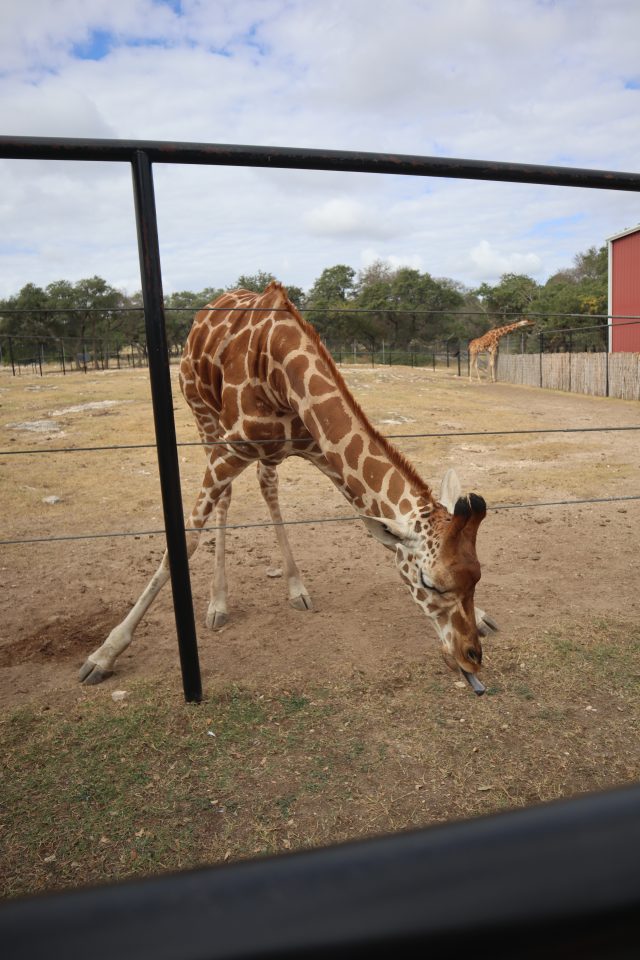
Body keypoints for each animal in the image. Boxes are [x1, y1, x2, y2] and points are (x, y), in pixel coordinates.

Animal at [80, 282, 498, 692]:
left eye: (476, 576)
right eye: (430, 583)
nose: (470, 658)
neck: (281, 372)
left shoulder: (318, 448)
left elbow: (377, 526)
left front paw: (482, 616)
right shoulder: (231, 448)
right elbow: (185, 540)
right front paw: (104, 654)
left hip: (264, 452)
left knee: (268, 488)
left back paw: (295, 587)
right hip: (204, 418)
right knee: (226, 498)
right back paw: (218, 604)